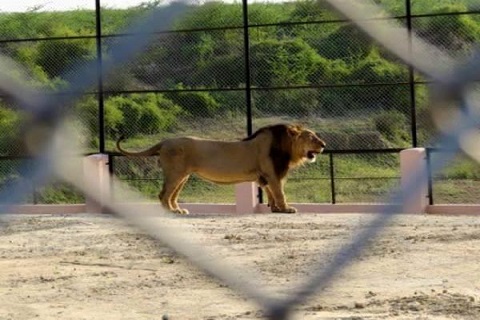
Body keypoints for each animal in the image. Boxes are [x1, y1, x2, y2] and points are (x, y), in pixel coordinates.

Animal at [116, 124, 326, 214]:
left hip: (182, 176)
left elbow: (270, 193)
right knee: (163, 194)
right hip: (176, 173)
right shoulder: (273, 172)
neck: (286, 147)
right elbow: (280, 192)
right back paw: (171, 212)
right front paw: (287, 209)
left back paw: (178, 209)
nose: (324, 144)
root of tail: (165, 141)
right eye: (311, 137)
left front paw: (274, 209)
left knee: (171, 194)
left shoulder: (267, 175)